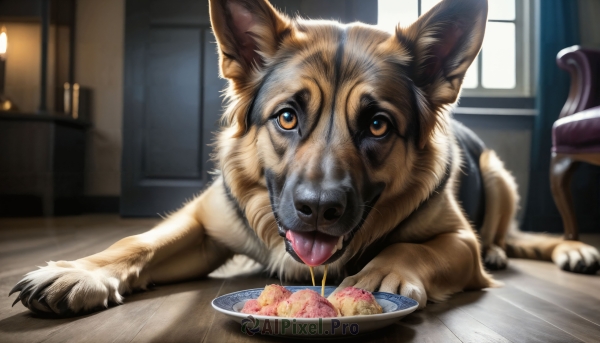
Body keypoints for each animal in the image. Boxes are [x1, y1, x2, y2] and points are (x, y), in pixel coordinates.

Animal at [10, 0, 600, 318]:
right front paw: (81, 271)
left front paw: (381, 272)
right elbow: (137, 241)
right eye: (288, 117)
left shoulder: (459, 241)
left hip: (499, 178)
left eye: (378, 125)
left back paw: (553, 248)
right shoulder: (200, 224)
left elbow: (414, 248)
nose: (318, 209)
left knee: (510, 237)